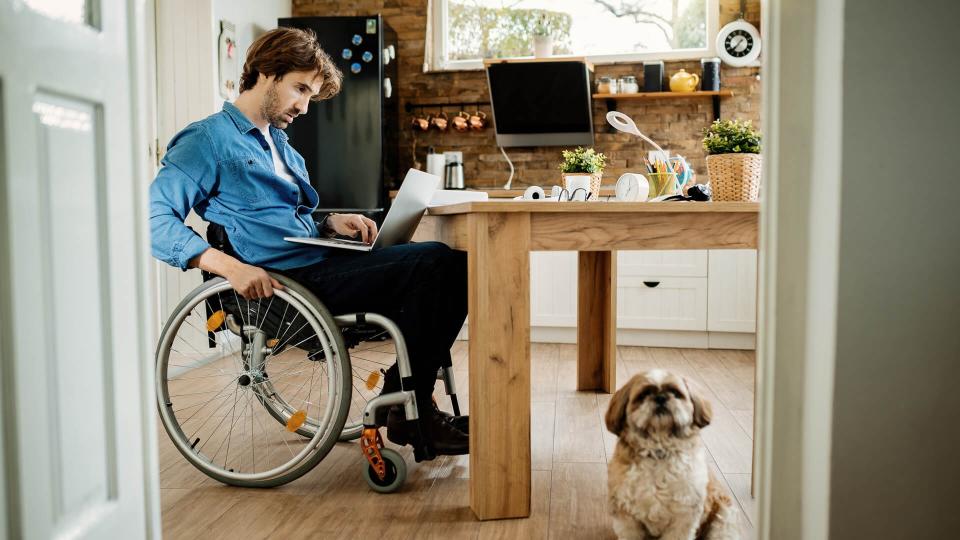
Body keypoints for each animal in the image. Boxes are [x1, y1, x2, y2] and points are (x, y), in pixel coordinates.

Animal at [604, 370, 740, 536]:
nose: (660, 397)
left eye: (675, 393)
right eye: (644, 394)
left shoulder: (684, 515)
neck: (659, 452)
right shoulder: (626, 514)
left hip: (725, 518)